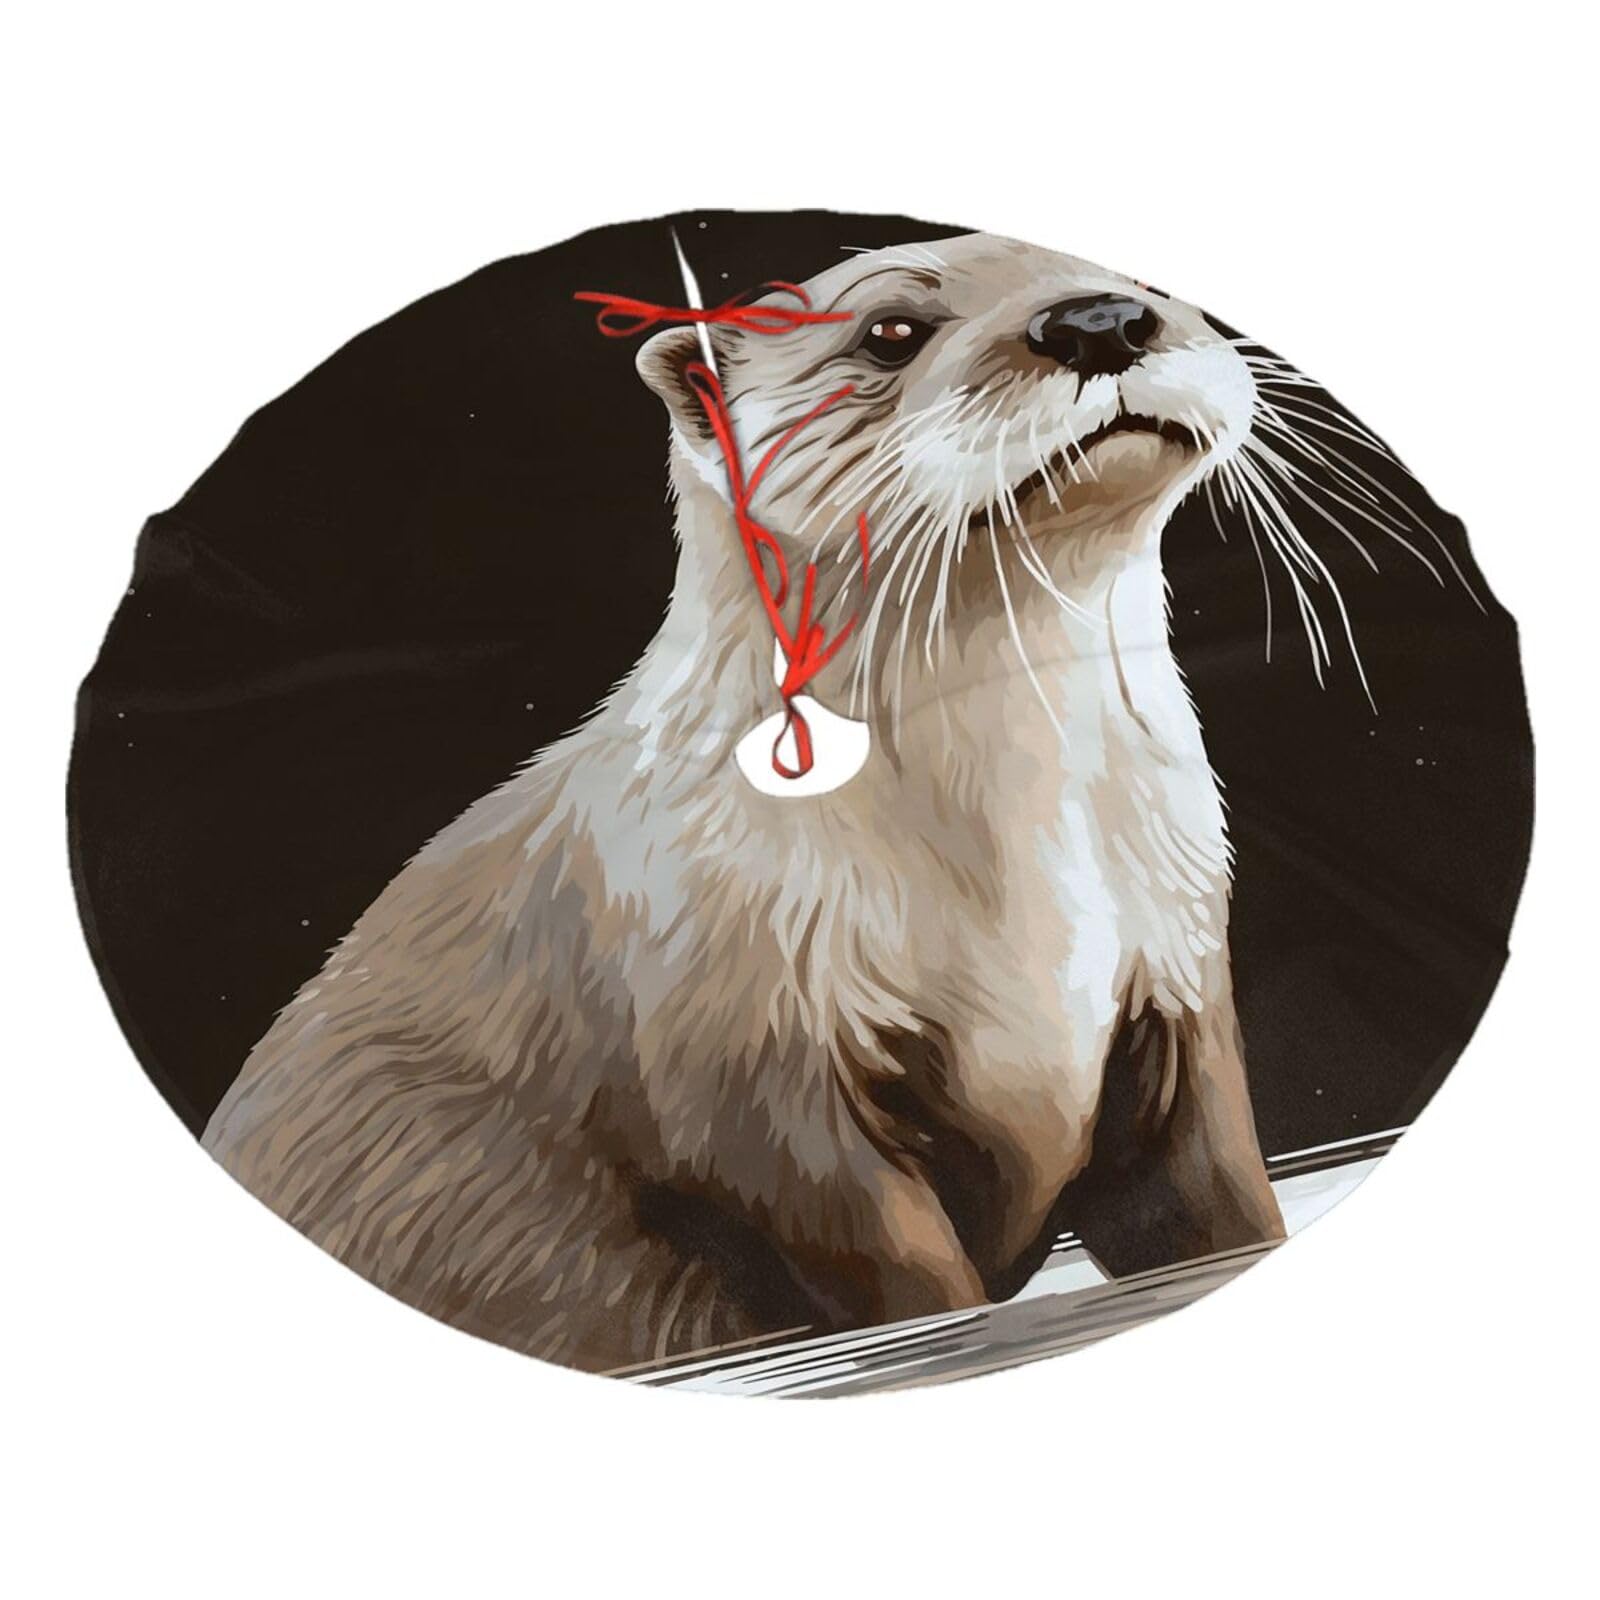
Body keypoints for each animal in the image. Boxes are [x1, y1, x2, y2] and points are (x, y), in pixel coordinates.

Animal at [204, 233, 1285, 1375]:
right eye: (891, 330)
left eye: (1144, 279)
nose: (1099, 320)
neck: (1020, 870)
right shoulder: (750, 1057)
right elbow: (900, 1271)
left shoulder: (1178, 967)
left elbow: (1211, 1199)